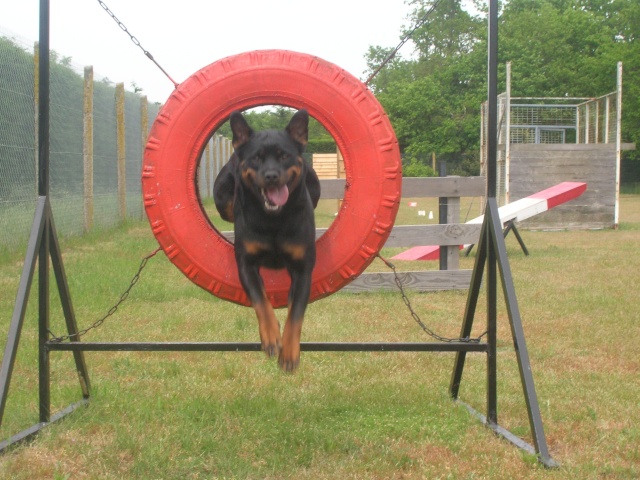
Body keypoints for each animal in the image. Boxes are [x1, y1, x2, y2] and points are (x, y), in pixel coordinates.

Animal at [212, 109, 320, 372]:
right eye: (256, 158)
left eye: (284, 156)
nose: (271, 176)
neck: (274, 218)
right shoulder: (246, 264)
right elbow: (261, 301)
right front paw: (271, 337)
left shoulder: (302, 269)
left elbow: (295, 313)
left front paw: (289, 352)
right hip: (221, 196)